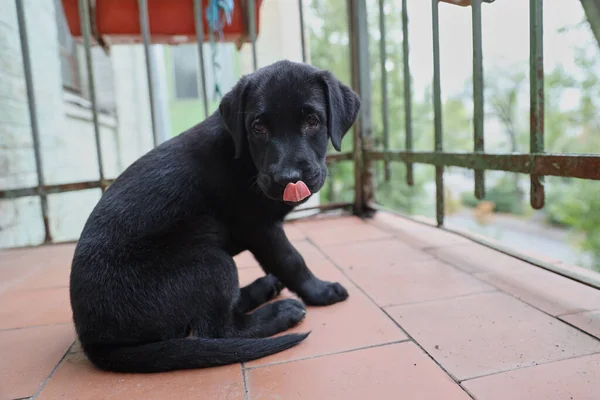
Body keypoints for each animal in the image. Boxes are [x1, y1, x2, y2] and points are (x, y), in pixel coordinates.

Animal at [70, 61, 360, 374]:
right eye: (258, 127)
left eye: (313, 121)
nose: (288, 178)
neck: (242, 156)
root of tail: (94, 342)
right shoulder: (261, 227)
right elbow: (291, 260)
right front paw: (320, 291)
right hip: (211, 261)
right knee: (220, 329)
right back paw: (280, 312)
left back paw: (263, 288)